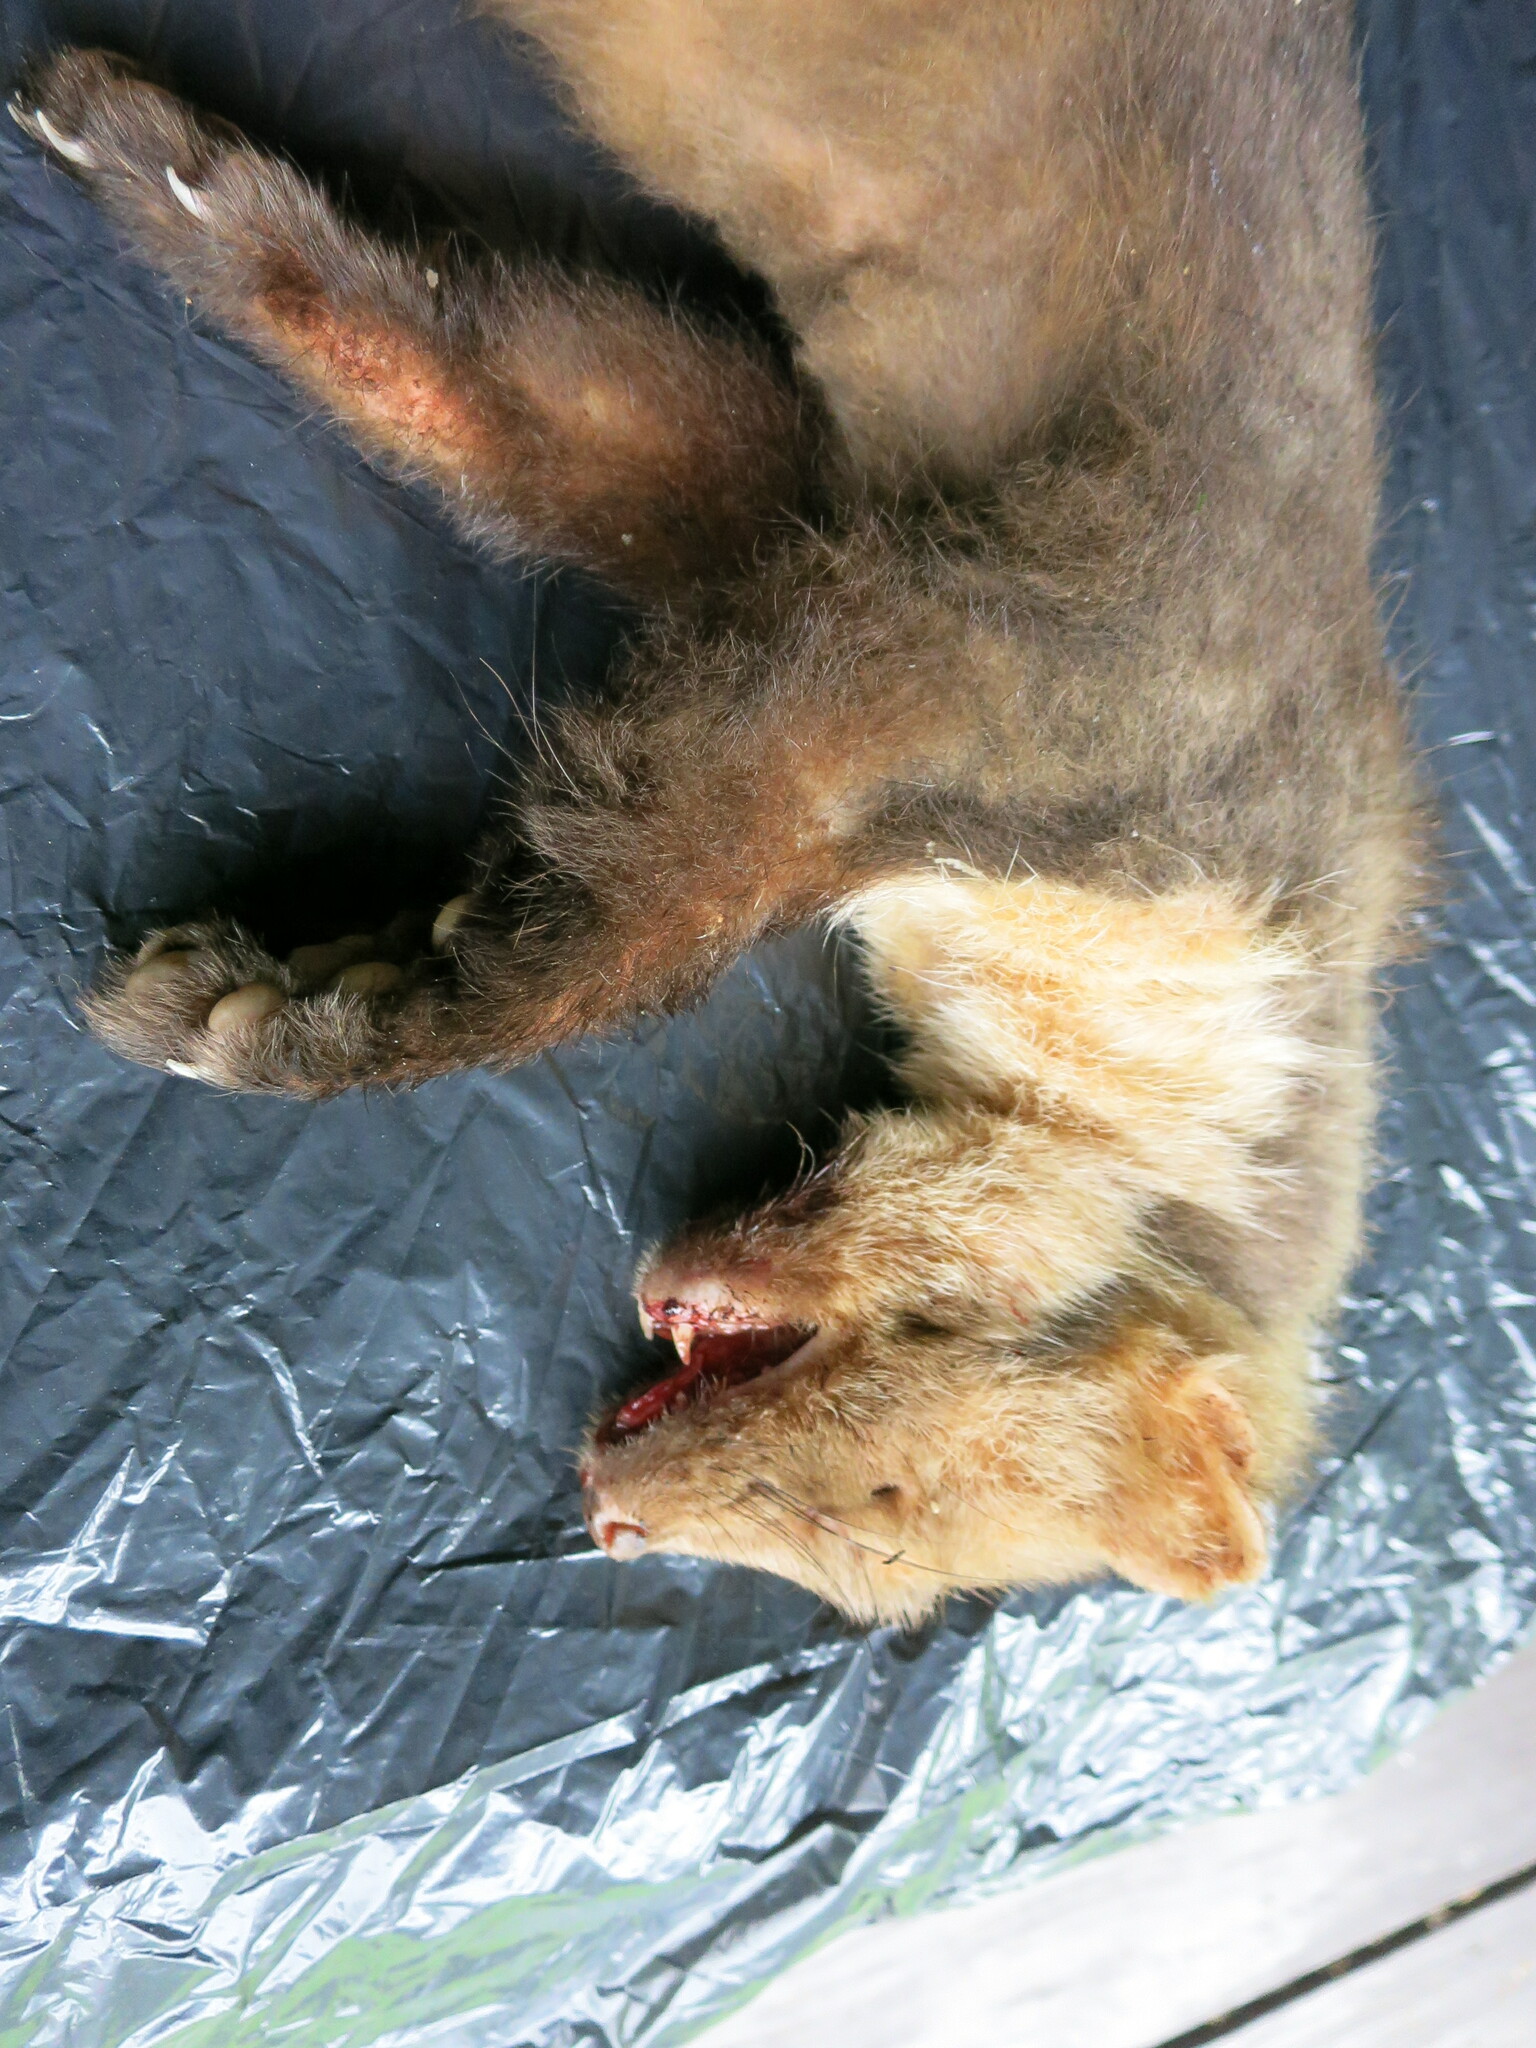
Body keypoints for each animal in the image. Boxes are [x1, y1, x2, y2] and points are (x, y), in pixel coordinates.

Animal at [14, 0, 1426, 1625]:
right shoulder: (1001, 656)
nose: (606, 1510)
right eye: (883, 1501)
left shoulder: (801, 513)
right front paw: (263, 1017)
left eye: (867, 1576)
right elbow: (631, 921)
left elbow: (549, 402)